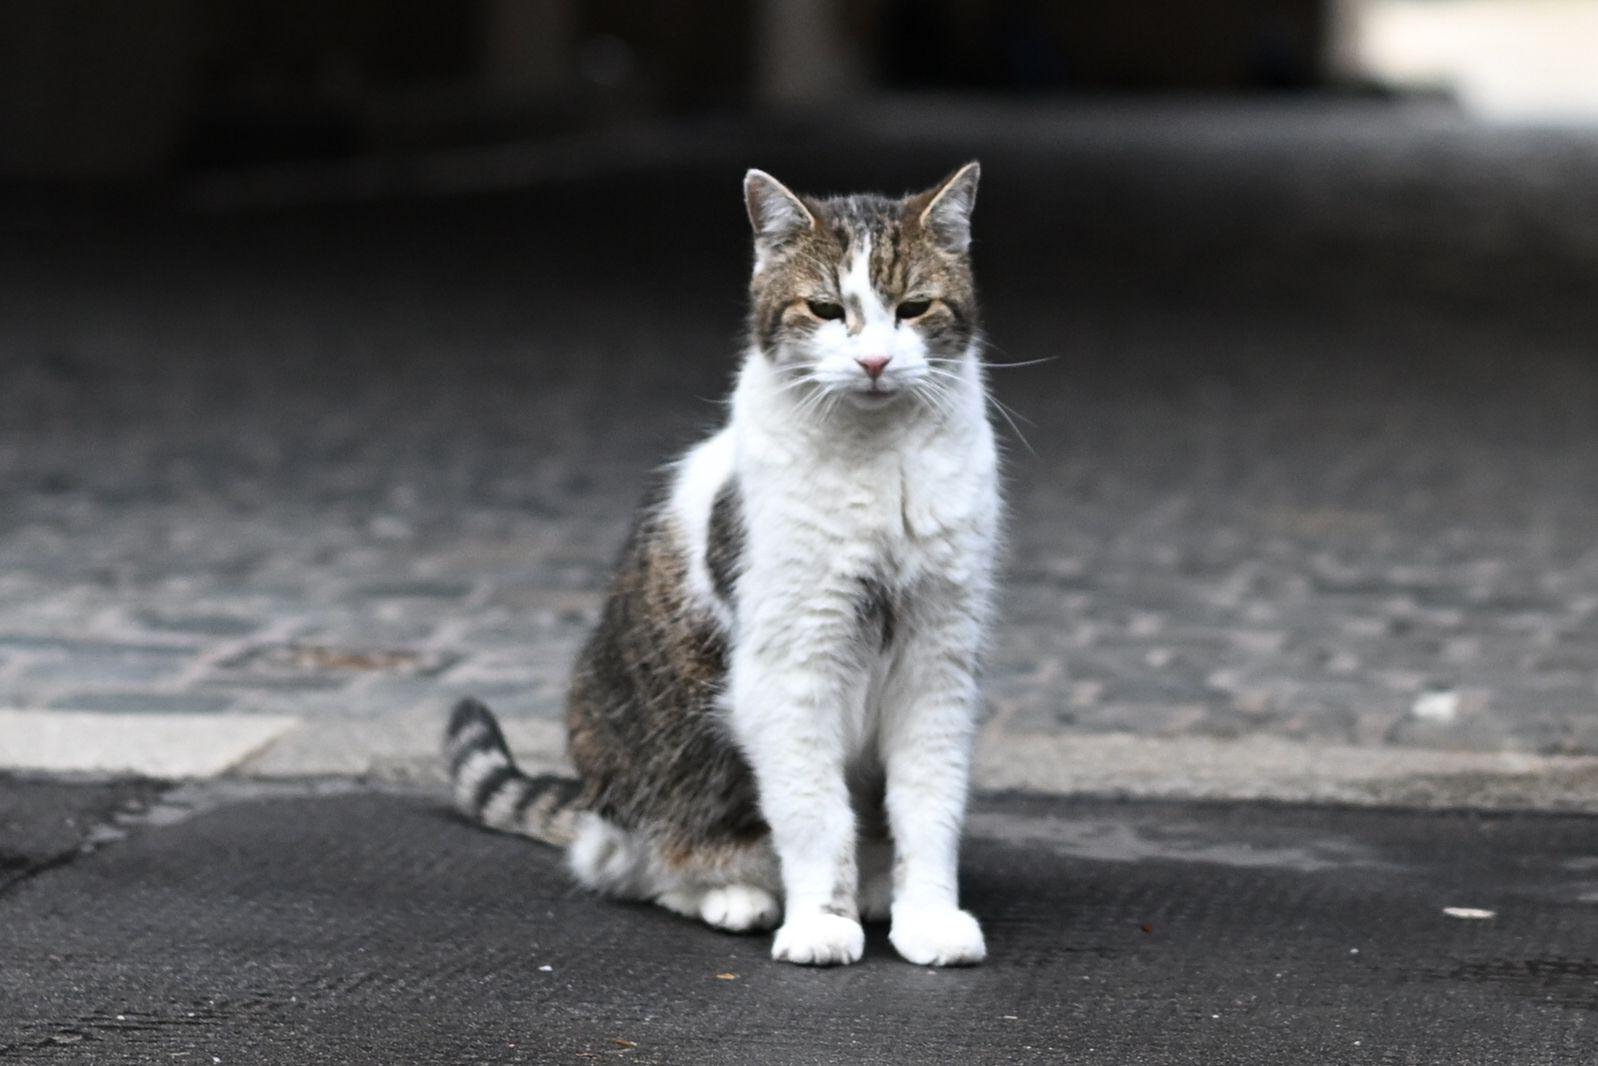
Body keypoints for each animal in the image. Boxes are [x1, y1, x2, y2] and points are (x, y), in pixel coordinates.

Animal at [447, 164, 997, 965]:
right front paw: (819, 924)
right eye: (826, 309)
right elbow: (814, 814)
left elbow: (929, 805)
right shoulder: (792, 668)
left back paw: (872, 888)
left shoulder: (938, 660)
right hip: (664, 760)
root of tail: (591, 802)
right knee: (633, 865)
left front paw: (926, 917)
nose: (873, 361)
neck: (880, 458)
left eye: (914, 308)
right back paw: (736, 893)